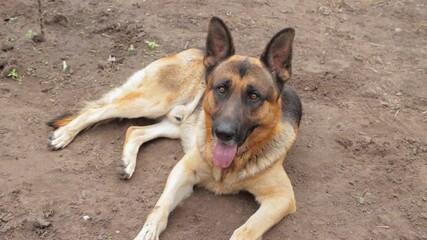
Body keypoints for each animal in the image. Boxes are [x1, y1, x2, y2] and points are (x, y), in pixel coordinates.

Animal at [47, 17, 300, 240]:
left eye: (254, 96)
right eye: (221, 89)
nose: (223, 133)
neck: (232, 165)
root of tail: (195, 51)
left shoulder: (282, 197)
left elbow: (246, 229)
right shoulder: (183, 170)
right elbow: (161, 207)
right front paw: (147, 232)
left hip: (176, 124)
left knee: (135, 130)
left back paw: (127, 162)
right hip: (152, 102)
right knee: (98, 110)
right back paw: (64, 135)